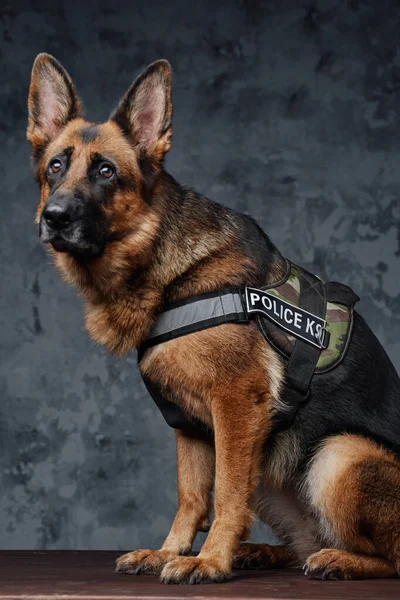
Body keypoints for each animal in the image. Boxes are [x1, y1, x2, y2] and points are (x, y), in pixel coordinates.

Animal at [27, 55, 400, 580]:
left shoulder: (237, 406)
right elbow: (191, 497)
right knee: (301, 543)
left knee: (388, 555)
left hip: (337, 454)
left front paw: (209, 560)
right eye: (55, 167)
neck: (163, 265)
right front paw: (170, 551)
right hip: (274, 469)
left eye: (105, 171)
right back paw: (265, 552)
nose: (54, 217)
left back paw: (340, 560)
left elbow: (225, 493)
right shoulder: (189, 424)